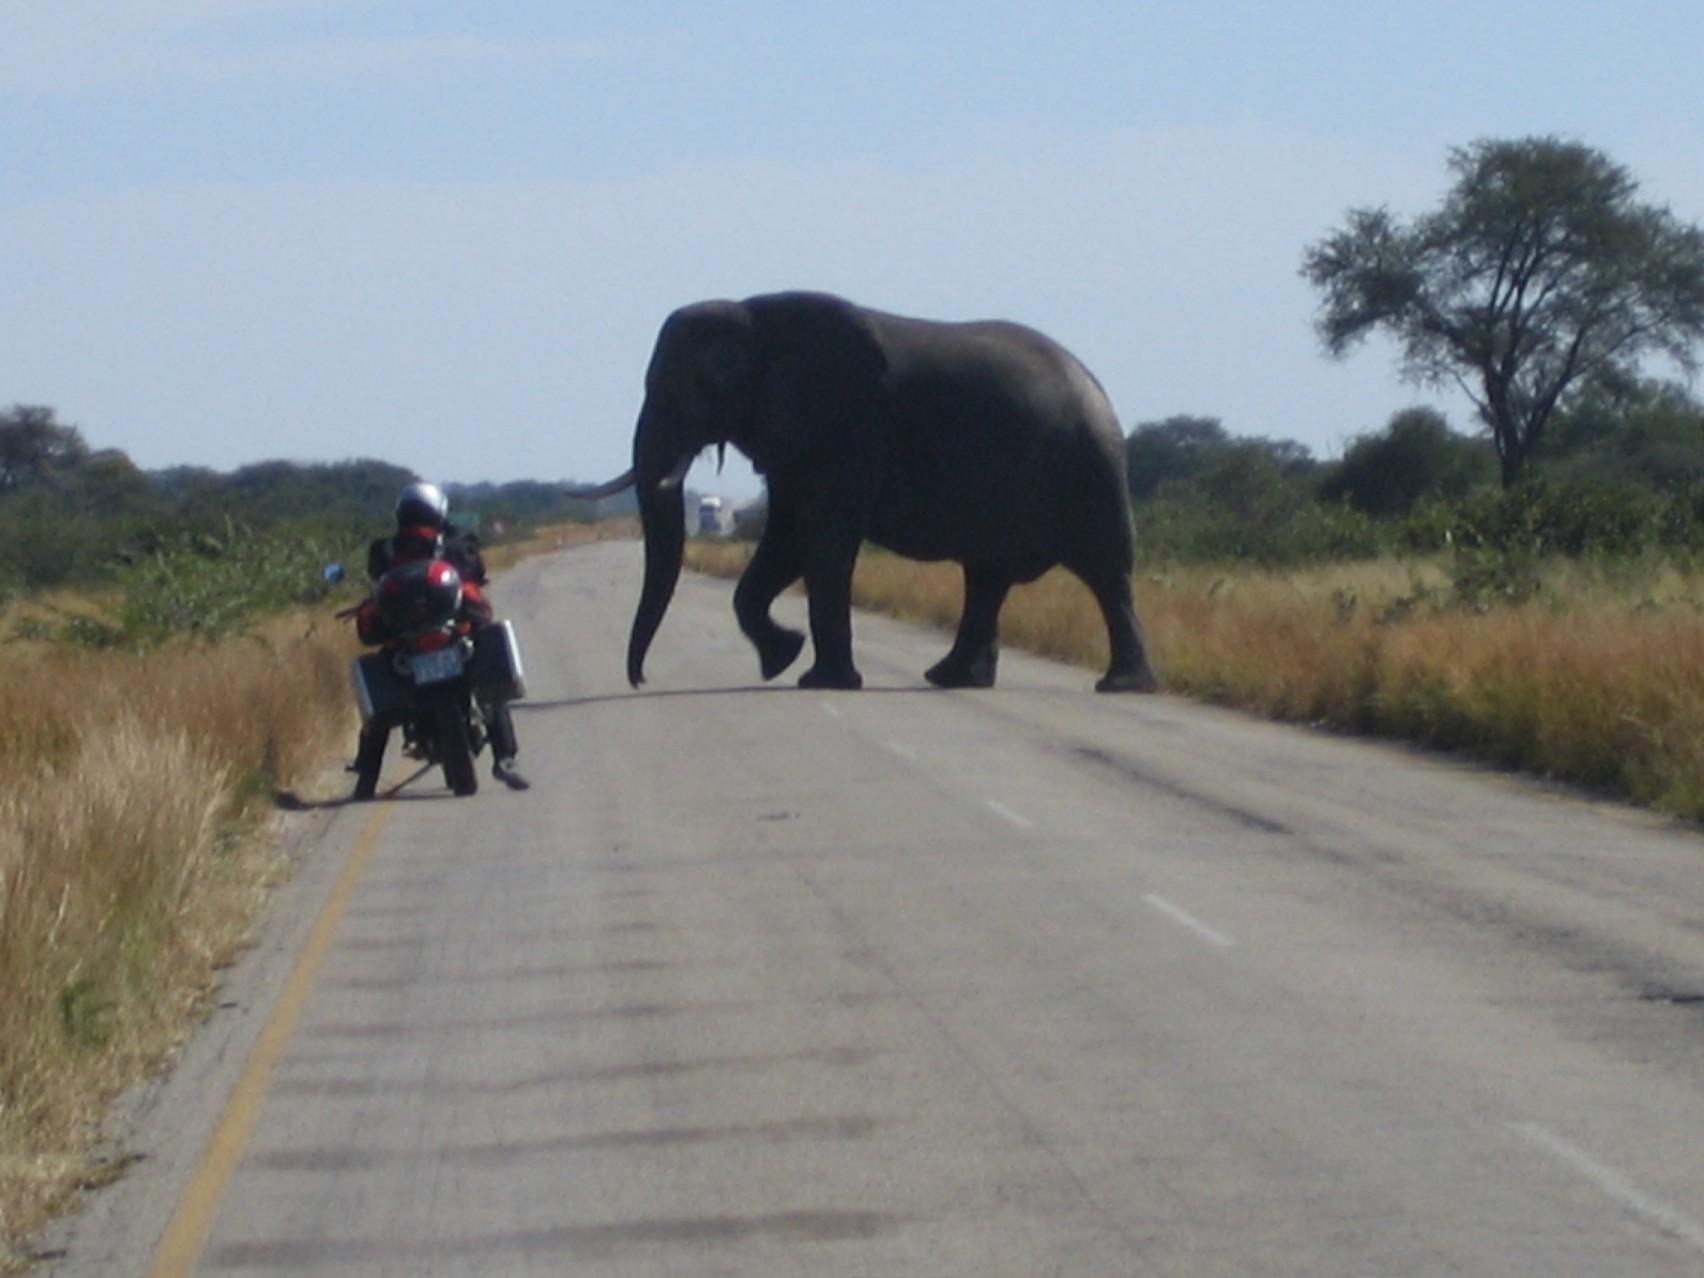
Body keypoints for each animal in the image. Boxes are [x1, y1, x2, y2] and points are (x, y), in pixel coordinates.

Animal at [582, 291, 1158, 695]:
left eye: (700, 384)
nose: (641, 681)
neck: (755, 317)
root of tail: (1095, 386)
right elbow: (787, 541)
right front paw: (782, 658)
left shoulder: (848, 427)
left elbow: (822, 542)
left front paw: (819, 680)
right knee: (987, 577)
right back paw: (949, 678)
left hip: (1089, 465)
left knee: (1105, 571)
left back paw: (1121, 686)